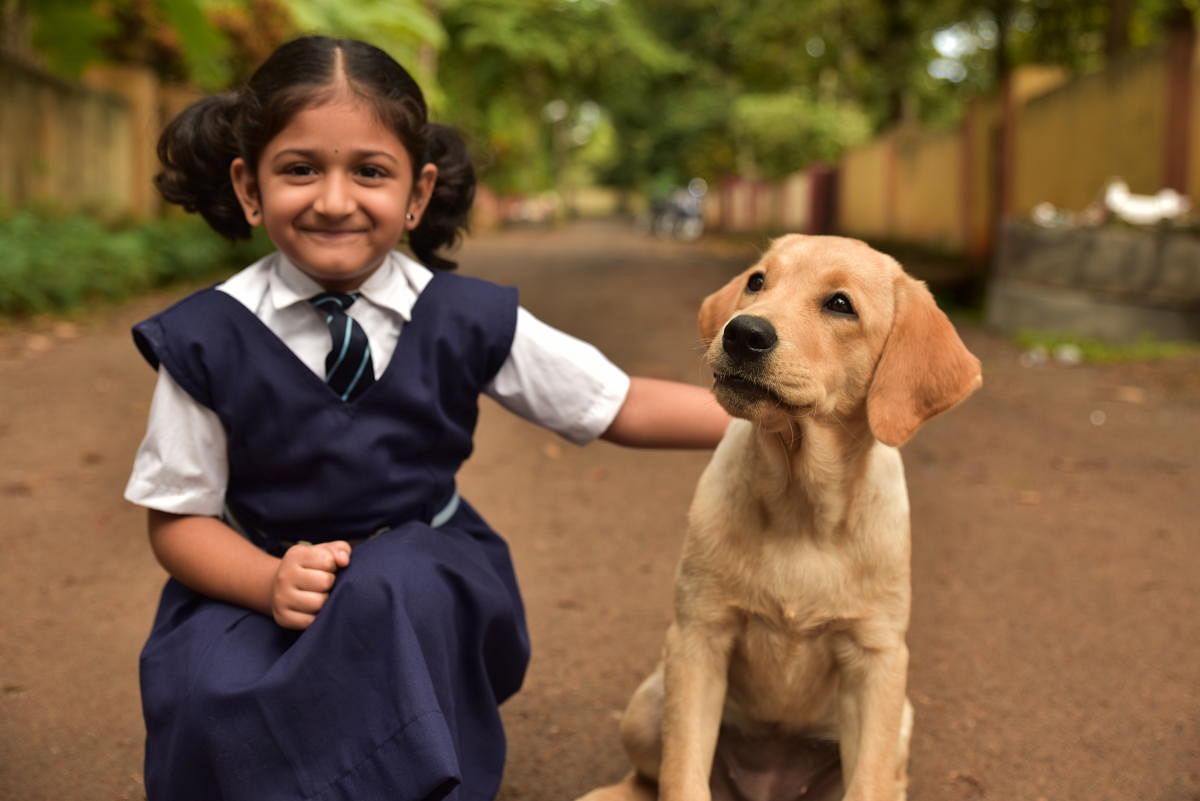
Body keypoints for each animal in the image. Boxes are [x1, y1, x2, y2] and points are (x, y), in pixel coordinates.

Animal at [580, 235, 984, 801]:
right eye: (757, 281)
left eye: (840, 304)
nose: (742, 333)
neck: (801, 505)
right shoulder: (698, 635)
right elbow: (682, 777)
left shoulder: (877, 658)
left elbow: (869, 784)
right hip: (650, 700)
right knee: (648, 775)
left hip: (901, 718)